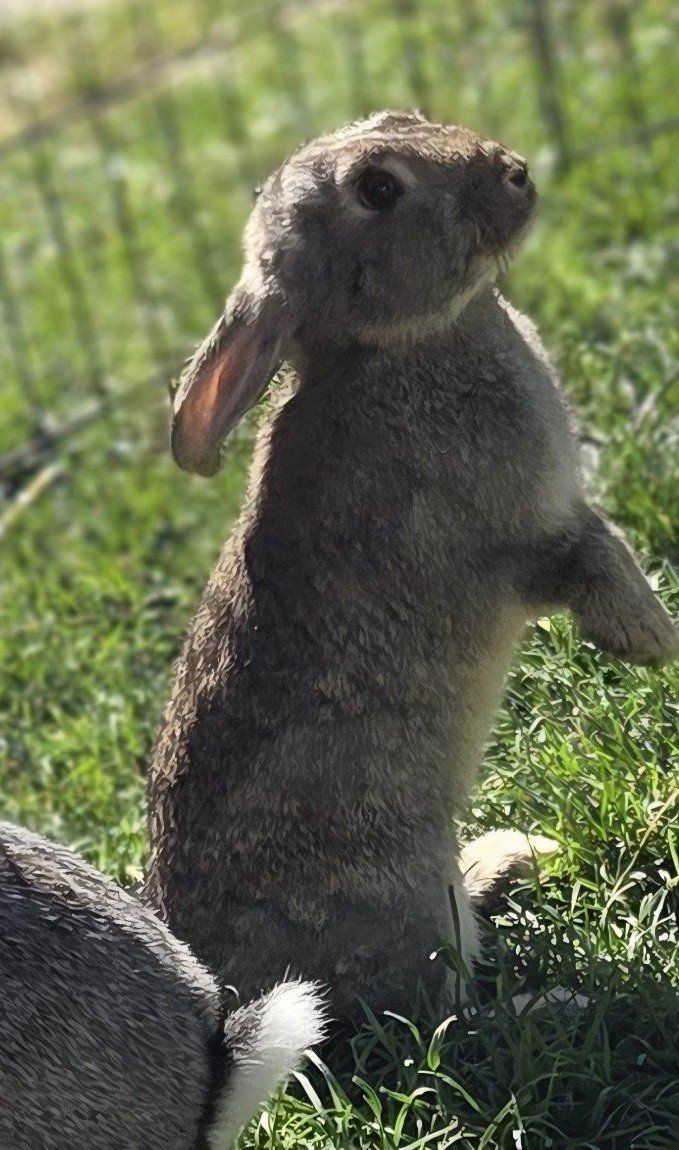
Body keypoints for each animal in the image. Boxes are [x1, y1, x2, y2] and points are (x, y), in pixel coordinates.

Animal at [144, 110, 678, 1022]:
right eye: (377, 190)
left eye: (401, 120)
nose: (515, 173)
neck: (401, 344)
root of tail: (224, 987)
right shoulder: (525, 536)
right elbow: (590, 553)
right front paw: (653, 638)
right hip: (403, 887)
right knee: (443, 1014)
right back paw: (558, 1000)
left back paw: (509, 858)